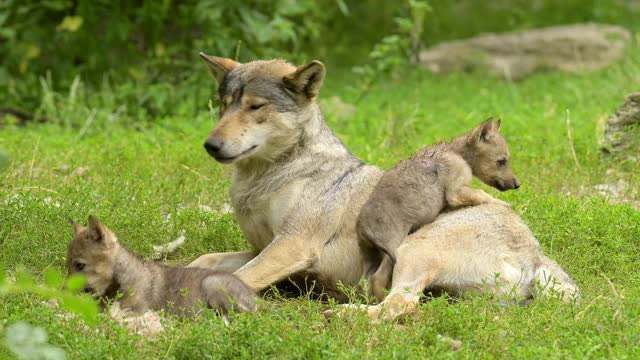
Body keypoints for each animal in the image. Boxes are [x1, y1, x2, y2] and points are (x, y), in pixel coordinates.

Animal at [360, 116, 520, 300]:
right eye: (502, 162)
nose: (517, 184)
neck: (458, 154)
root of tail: (362, 227)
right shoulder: (455, 192)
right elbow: (481, 194)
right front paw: (503, 204)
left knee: (372, 281)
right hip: (396, 248)